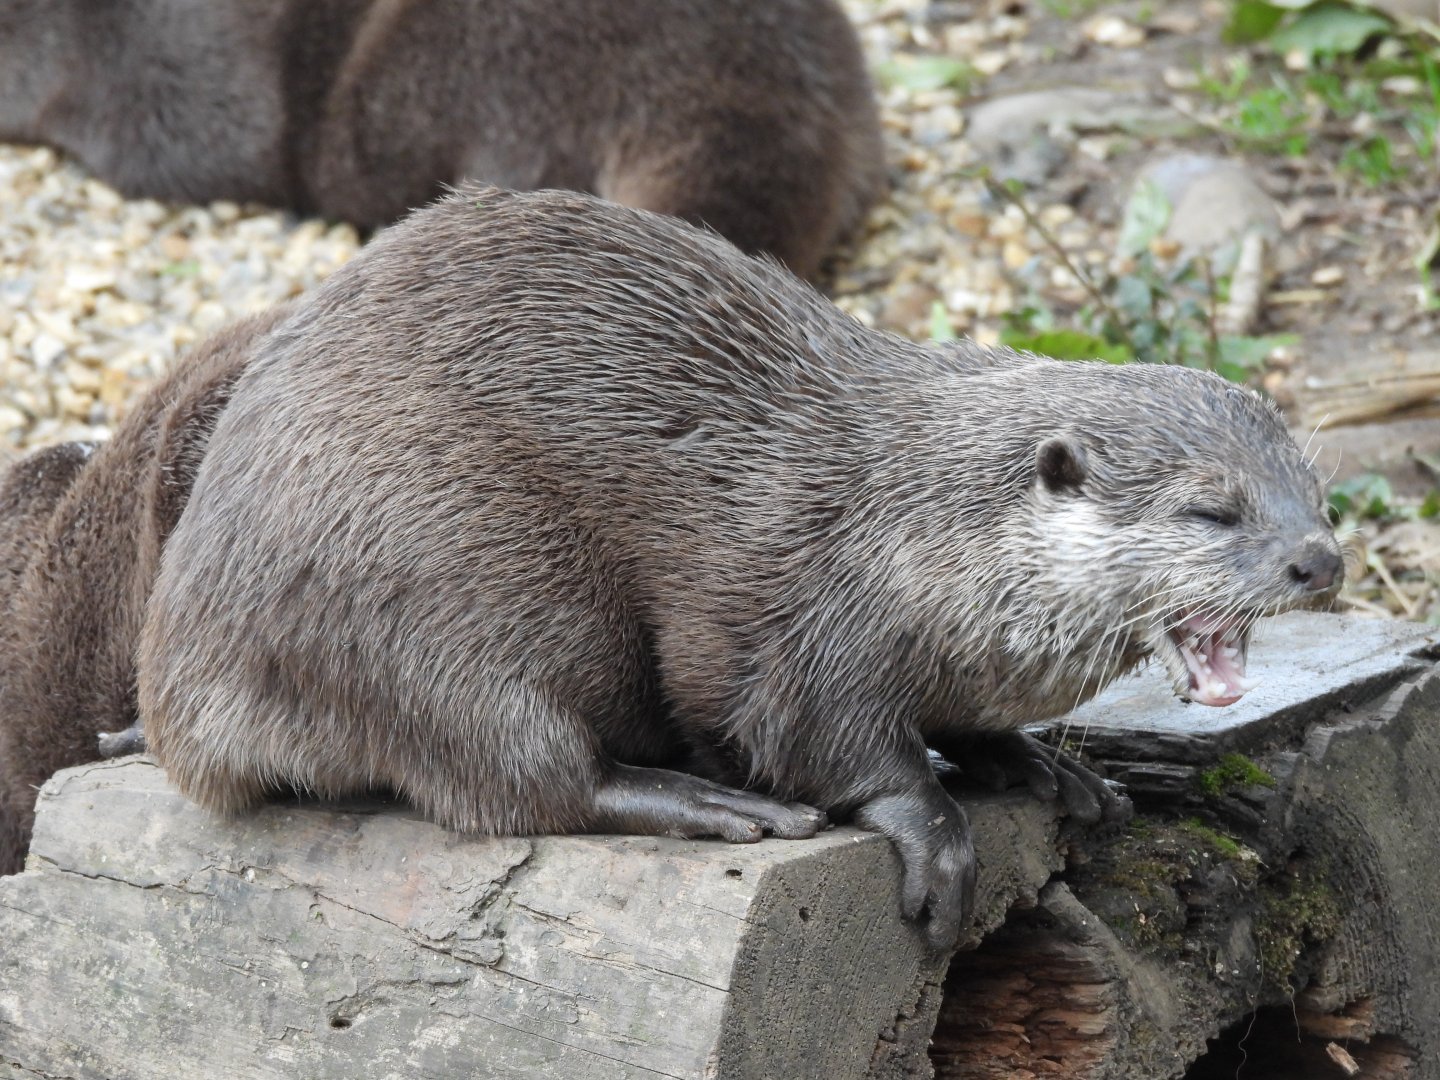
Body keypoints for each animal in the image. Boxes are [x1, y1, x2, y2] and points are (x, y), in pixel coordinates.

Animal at [134, 186, 1342, 948]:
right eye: (1212, 510)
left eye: (1315, 493)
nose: (1318, 563)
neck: (910, 531)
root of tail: (185, 677)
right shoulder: (803, 615)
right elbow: (813, 737)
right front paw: (934, 829)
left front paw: (1041, 765)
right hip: (431, 581)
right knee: (514, 779)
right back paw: (704, 804)